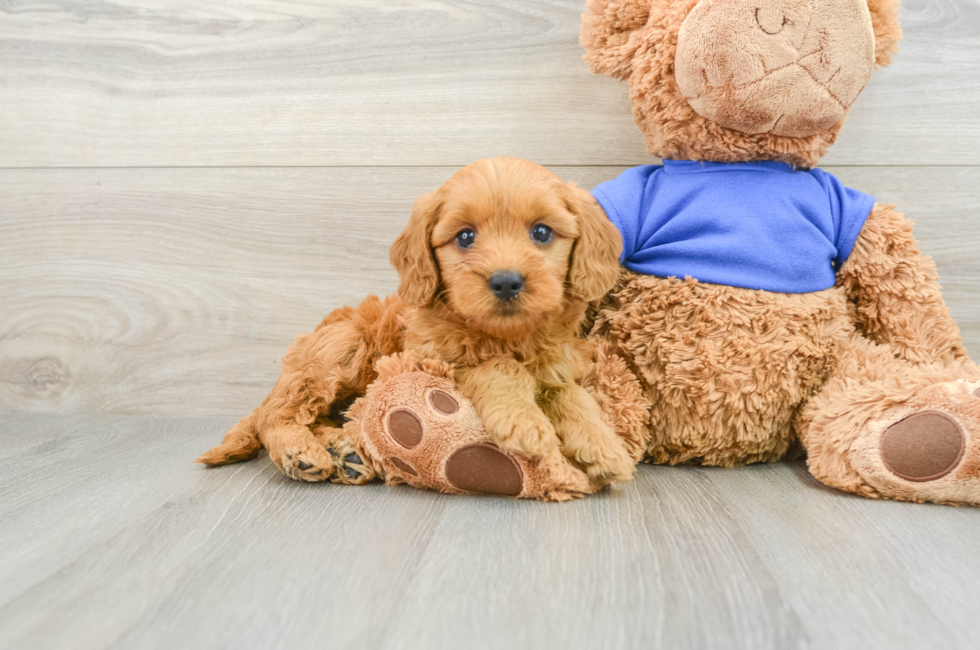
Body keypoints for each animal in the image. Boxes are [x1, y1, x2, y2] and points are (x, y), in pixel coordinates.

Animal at [199, 157, 636, 480]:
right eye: (465, 237)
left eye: (542, 233)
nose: (506, 282)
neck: (506, 335)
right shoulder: (435, 359)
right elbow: (499, 368)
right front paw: (525, 422)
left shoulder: (556, 366)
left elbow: (572, 396)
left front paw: (603, 445)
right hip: (338, 350)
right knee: (275, 413)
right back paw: (300, 450)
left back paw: (343, 450)